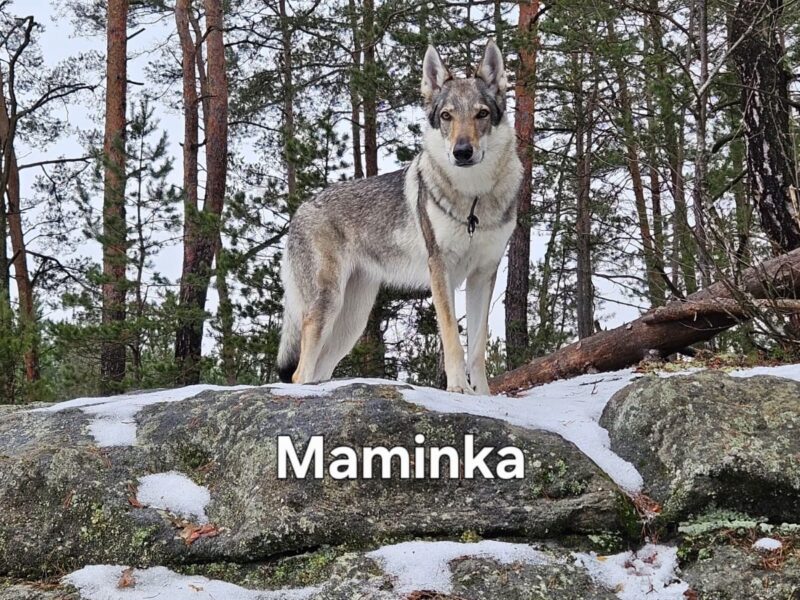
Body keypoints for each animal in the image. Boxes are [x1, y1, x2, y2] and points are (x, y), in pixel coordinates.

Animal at [276, 40, 522, 394]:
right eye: (446, 116)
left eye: (482, 114)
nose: (462, 152)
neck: (473, 198)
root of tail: (299, 210)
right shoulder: (440, 270)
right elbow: (452, 338)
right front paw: (458, 389)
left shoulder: (484, 273)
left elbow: (476, 346)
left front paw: (484, 395)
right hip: (327, 307)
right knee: (298, 373)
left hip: (351, 324)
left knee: (317, 370)